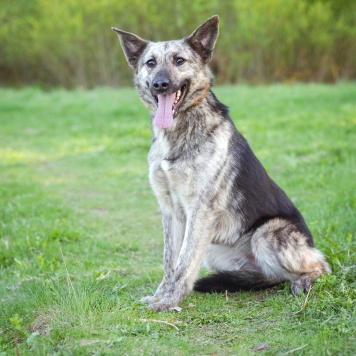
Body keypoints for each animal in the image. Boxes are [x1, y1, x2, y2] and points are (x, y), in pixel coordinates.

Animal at [111, 15, 330, 310]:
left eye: (179, 60)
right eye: (150, 63)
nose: (160, 84)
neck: (179, 131)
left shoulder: (199, 212)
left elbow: (183, 263)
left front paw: (170, 302)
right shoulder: (170, 211)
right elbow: (170, 262)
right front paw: (160, 296)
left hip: (264, 235)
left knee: (321, 265)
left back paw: (303, 281)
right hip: (214, 249)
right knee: (269, 276)